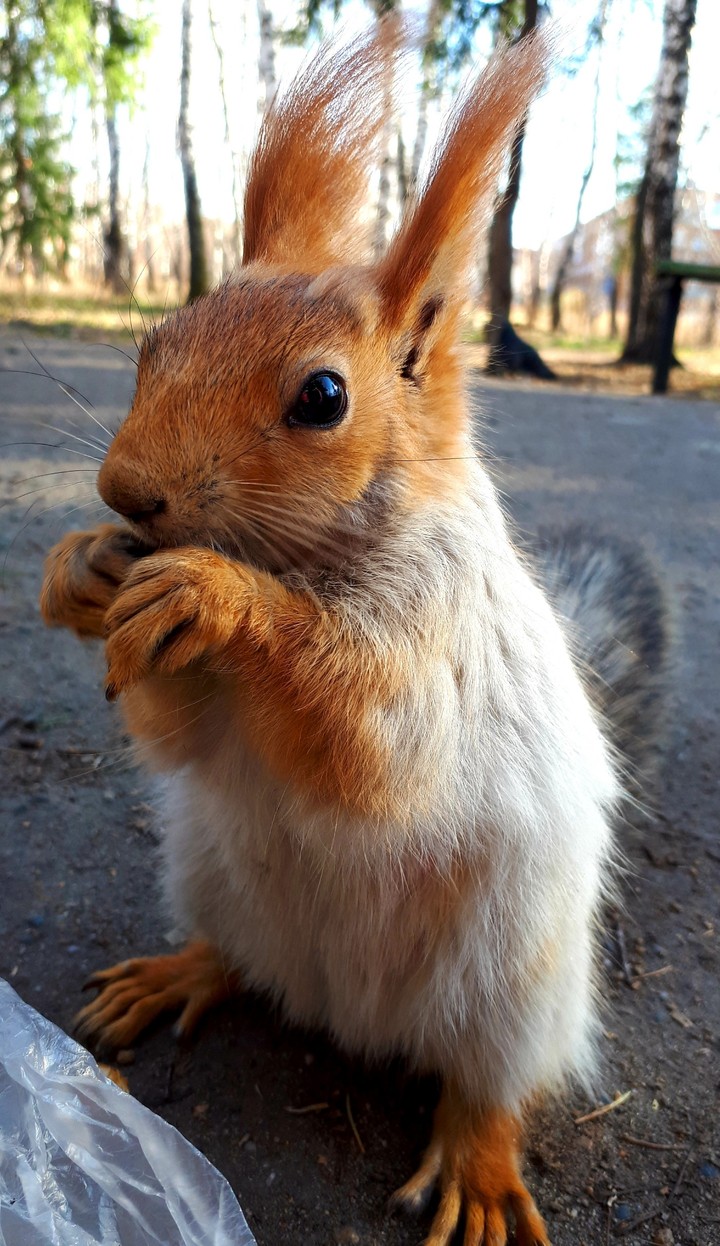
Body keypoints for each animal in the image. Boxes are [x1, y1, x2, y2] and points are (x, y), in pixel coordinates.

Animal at [40, 22, 666, 1245]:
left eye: (323, 397)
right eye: (154, 343)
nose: (124, 492)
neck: (304, 562)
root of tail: (348, 1012)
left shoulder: (441, 639)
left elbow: (375, 742)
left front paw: (219, 599)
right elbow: (185, 735)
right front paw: (83, 566)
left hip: (515, 985)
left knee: (492, 1084)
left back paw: (478, 1163)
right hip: (214, 876)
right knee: (239, 962)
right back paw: (180, 975)